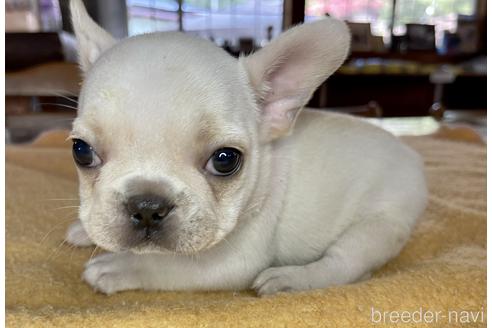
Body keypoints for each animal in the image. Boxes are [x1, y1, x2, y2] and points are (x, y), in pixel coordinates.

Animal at [65, 0, 426, 296]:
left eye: (225, 160)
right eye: (81, 151)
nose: (147, 205)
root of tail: (413, 159)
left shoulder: (230, 261)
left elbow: (166, 264)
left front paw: (118, 266)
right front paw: (85, 231)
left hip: (378, 226)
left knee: (345, 264)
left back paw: (291, 279)